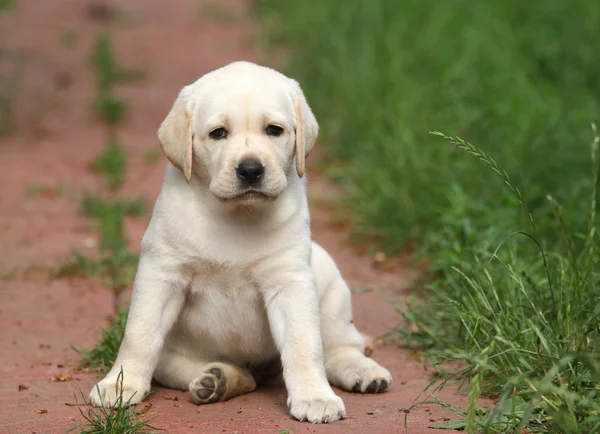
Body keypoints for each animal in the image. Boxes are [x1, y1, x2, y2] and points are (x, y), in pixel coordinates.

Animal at [88, 61, 390, 424]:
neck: (236, 214)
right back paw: (218, 379)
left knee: (340, 347)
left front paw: (315, 398)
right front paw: (120, 384)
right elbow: (139, 335)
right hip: (177, 355)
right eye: (218, 133)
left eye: (274, 130)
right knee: (201, 368)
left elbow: (304, 345)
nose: (250, 169)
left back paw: (363, 372)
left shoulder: (289, 282)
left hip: (329, 283)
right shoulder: (161, 274)